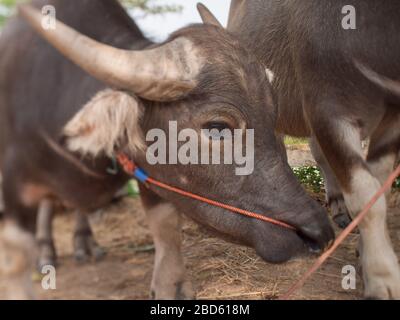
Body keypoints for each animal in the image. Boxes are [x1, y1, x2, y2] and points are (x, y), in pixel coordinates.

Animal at [0, 0, 332, 300]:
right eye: (217, 126)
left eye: (273, 115)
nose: (318, 232)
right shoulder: (12, 189)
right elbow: (16, 259)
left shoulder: (153, 173)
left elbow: (166, 227)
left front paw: (172, 285)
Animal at [228, 0, 400, 300]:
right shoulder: (327, 110)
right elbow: (366, 196)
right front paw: (383, 278)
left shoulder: (393, 116)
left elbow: (380, 189)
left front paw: (365, 254)